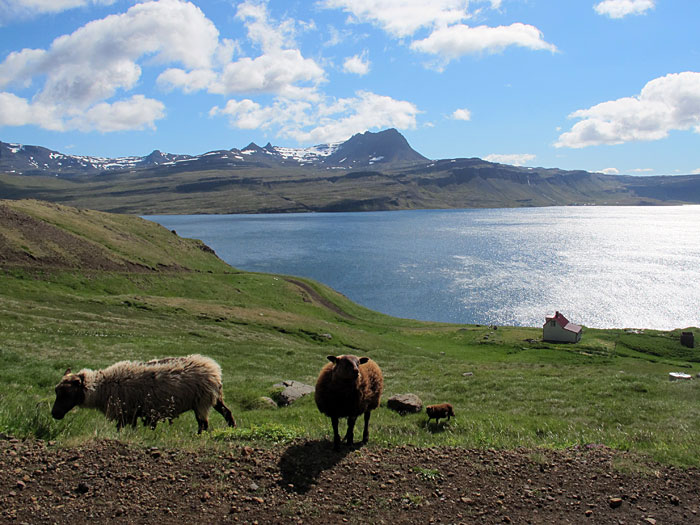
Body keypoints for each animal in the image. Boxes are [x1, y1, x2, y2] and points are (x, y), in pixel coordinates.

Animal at [50, 352, 235, 434]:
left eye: (67, 393)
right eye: (56, 391)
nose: (54, 414)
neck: (103, 387)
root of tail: (214, 368)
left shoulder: (126, 412)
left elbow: (121, 429)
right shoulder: (133, 413)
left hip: (201, 401)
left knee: (203, 423)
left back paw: (199, 436)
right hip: (214, 398)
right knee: (227, 412)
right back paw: (232, 429)